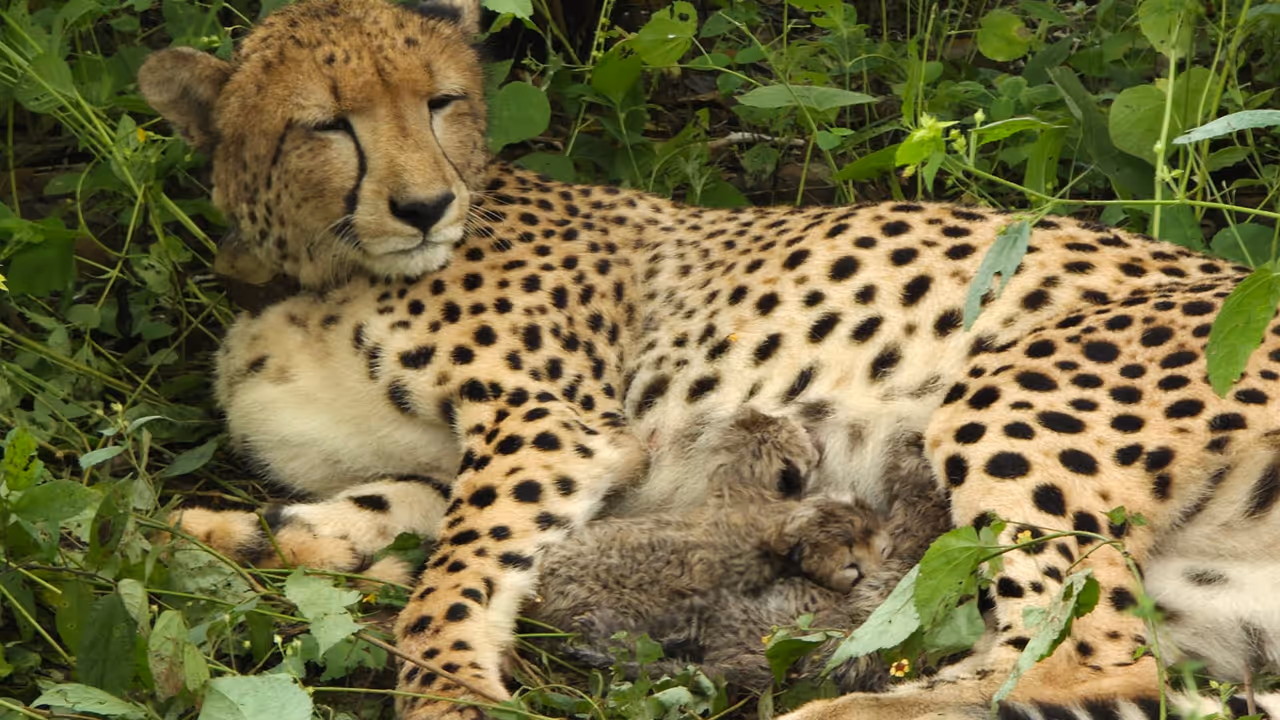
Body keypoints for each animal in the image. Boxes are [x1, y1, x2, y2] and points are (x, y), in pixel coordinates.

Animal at [137, 0, 1280, 717]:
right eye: (326, 124)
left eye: (440, 103)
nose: (424, 205)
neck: (315, 267)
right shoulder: (475, 461)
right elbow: (382, 515)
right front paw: (230, 532)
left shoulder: (553, 429)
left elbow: (452, 575)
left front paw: (448, 692)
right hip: (1208, 602)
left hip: (1007, 391)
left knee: (1085, 664)